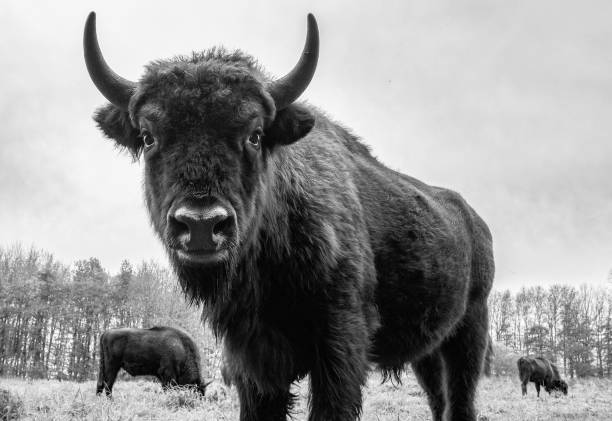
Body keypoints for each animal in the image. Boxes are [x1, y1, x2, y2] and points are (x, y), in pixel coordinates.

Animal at [83, 10, 494, 420]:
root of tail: (476, 221)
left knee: (460, 398)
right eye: (148, 136)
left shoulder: (340, 343)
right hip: (430, 349)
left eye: (255, 134)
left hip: (469, 332)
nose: (201, 225)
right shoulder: (252, 358)